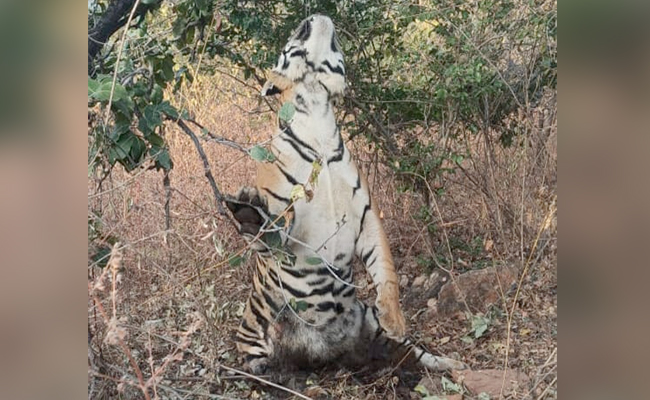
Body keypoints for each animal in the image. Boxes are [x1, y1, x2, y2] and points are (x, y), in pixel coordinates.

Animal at [226, 14, 467, 374]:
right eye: (297, 32)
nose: (313, 15)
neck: (317, 114)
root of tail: (329, 356)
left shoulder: (367, 216)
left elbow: (388, 270)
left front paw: (395, 316)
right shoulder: (284, 218)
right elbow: (269, 233)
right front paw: (248, 213)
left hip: (370, 323)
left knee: (415, 354)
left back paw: (452, 364)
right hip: (253, 338)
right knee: (261, 364)